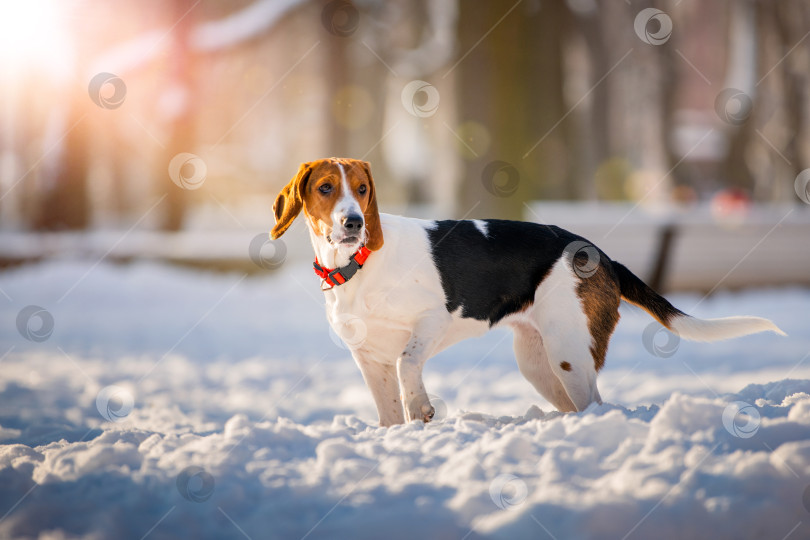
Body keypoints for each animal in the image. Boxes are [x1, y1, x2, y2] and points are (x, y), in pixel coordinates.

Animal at [270, 156, 784, 426]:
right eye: (325, 188)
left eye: (361, 189)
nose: (354, 223)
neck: (358, 266)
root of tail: (599, 254)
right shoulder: (368, 359)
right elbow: (388, 407)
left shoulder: (432, 320)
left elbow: (408, 362)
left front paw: (422, 406)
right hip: (539, 364)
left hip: (568, 354)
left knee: (594, 404)